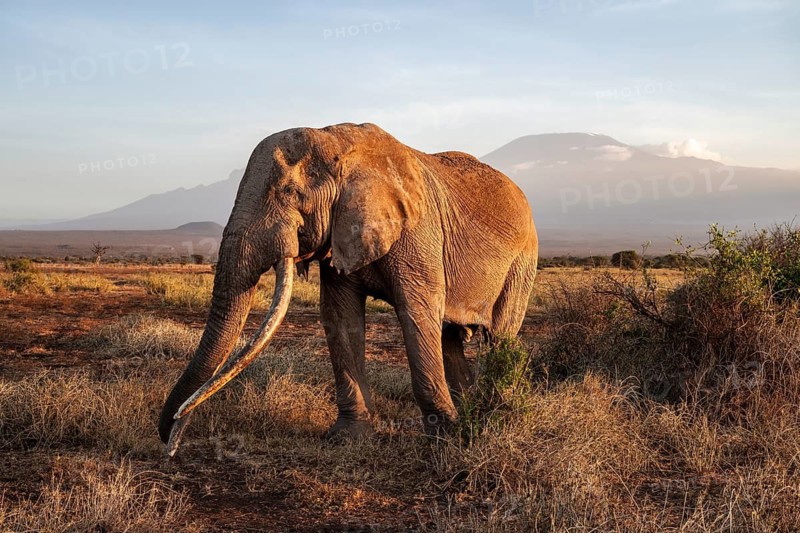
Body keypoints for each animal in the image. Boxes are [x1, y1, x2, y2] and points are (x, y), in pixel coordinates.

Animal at [159, 122, 538, 456]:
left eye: (289, 193)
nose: (170, 442)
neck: (338, 143)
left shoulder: (418, 231)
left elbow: (417, 311)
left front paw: (447, 440)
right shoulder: (340, 230)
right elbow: (340, 314)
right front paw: (347, 438)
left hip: (523, 259)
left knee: (499, 335)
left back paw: (490, 416)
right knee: (450, 338)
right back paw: (471, 410)